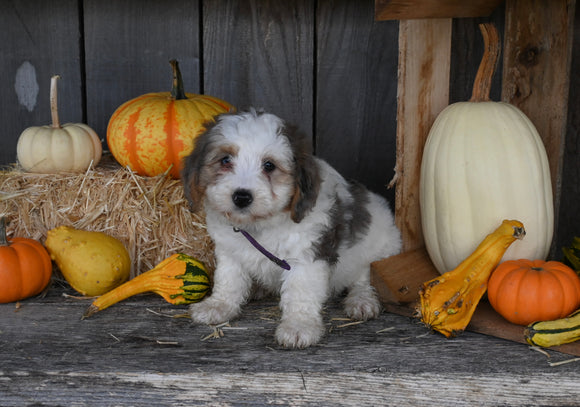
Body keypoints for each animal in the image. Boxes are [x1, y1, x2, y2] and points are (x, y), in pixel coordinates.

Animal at [184, 108, 402, 348]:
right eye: (225, 160)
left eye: (269, 165)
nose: (241, 197)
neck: (260, 225)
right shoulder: (229, 251)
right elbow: (228, 280)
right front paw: (218, 306)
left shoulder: (307, 256)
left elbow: (300, 291)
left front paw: (299, 327)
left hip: (383, 247)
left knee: (364, 277)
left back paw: (362, 300)